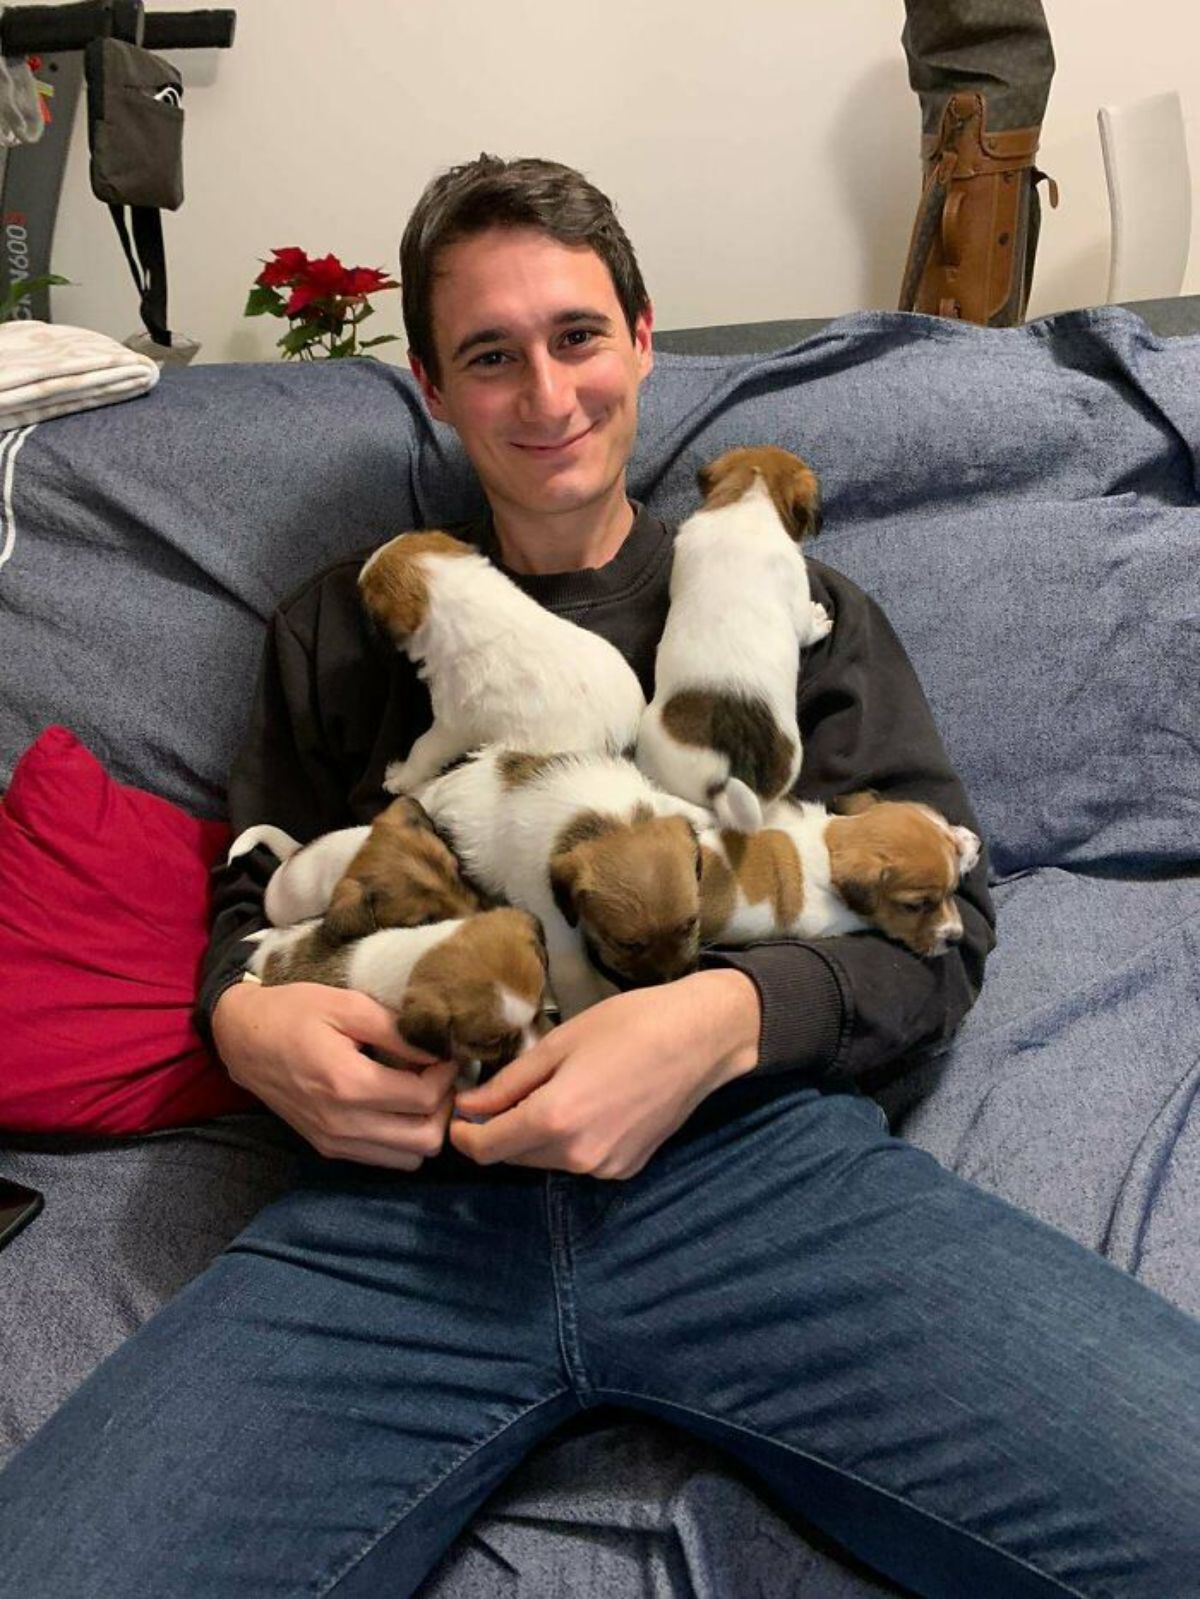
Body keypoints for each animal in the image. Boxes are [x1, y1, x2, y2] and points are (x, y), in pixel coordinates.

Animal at [416, 745, 710, 1016]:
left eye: (691, 924)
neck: (613, 821)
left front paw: (701, 814)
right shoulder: (556, 921)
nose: (673, 983)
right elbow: (574, 974)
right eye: (627, 945)